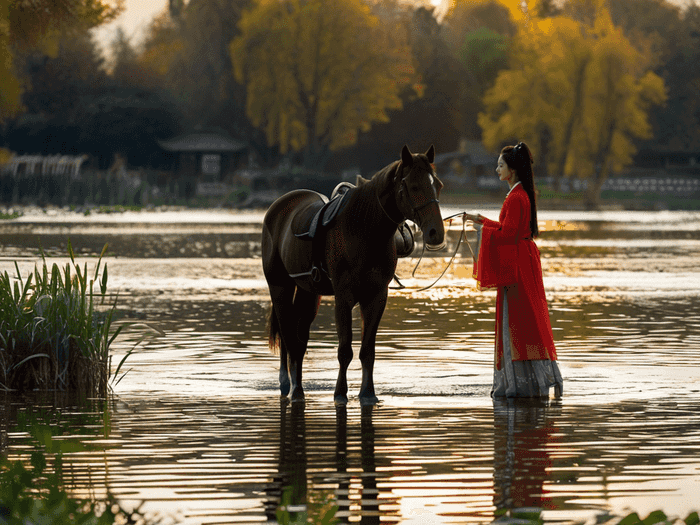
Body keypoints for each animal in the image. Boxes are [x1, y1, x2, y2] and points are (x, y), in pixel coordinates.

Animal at [260, 143, 446, 406]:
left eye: (437, 184)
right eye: (413, 186)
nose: (435, 233)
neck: (364, 229)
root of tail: (278, 207)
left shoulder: (376, 297)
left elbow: (368, 350)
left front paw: (368, 393)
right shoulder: (344, 298)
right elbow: (344, 349)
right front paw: (340, 393)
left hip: (309, 292)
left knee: (299, 338)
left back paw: (295, 384)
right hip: (280, 286)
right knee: (288, 335)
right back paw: (292, 387)